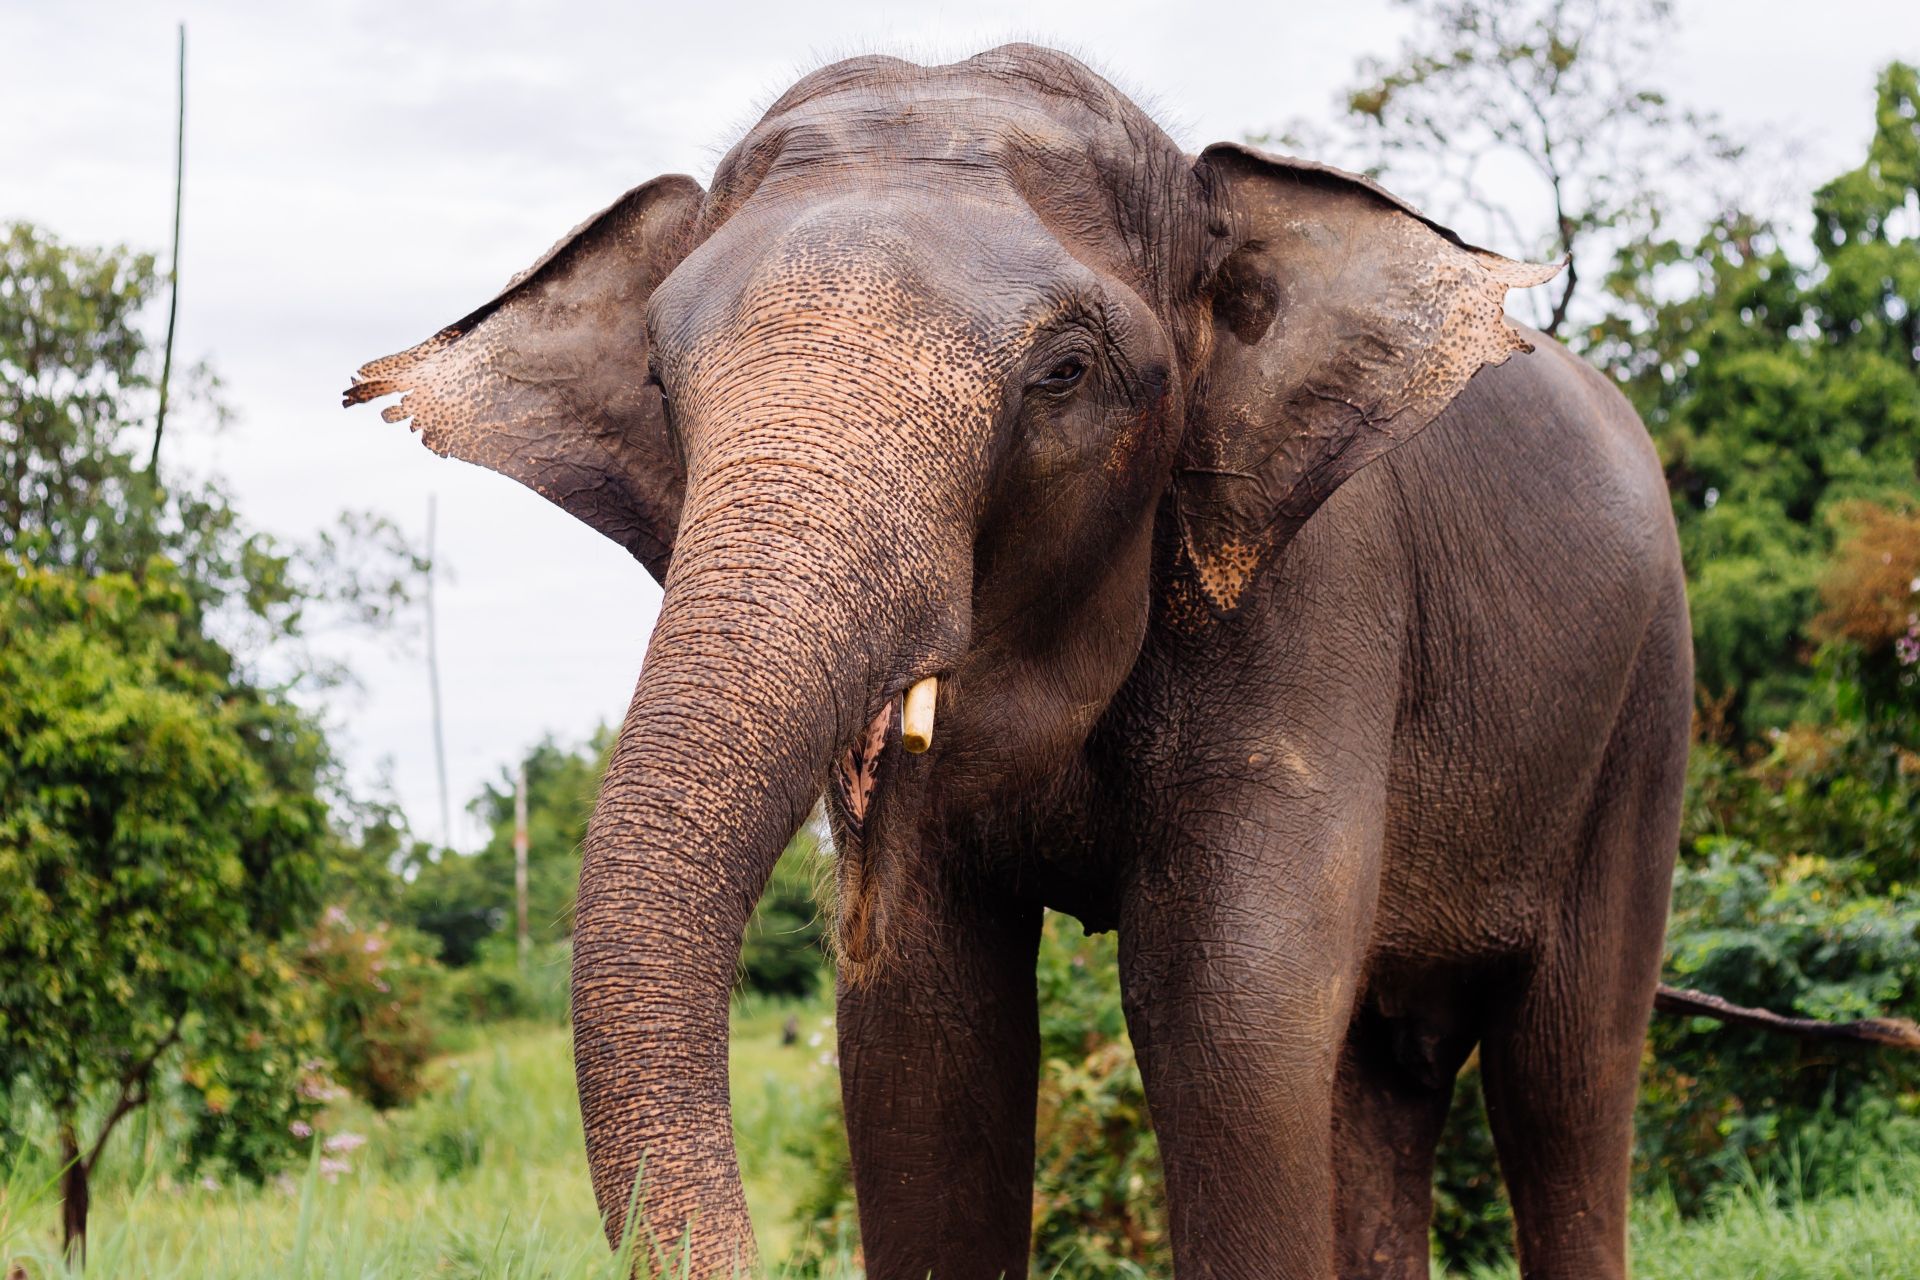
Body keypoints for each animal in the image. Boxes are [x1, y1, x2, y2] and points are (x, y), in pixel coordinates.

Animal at [345, 45, 1691, 1279]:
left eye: (1066, 372)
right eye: (661, 383)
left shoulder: (1320, 597)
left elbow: (1226, 1009)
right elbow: (922, 1039)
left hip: (1646, 710)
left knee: (1567, 1071)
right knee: (1386, 1073)